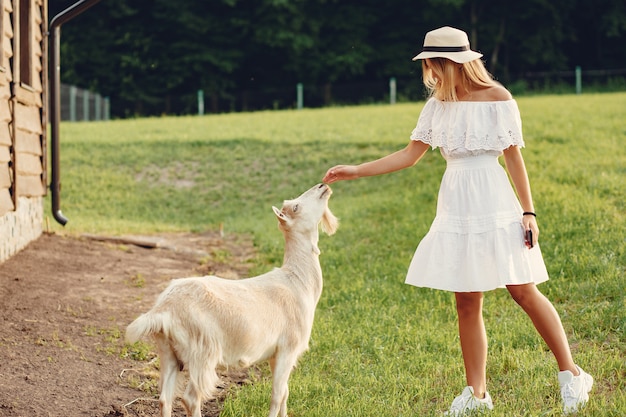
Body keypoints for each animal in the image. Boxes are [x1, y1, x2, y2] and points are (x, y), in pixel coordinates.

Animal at [123, 182, 336, 416]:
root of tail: (163, 309)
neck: (297, 281)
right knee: (190, 398)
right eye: (296, 207)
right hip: (202, 351)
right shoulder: (288, 347)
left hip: (168, 352)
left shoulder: (276, 354)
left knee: (164, 398)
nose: (322, 185)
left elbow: (285, 394)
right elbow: (277, 395)